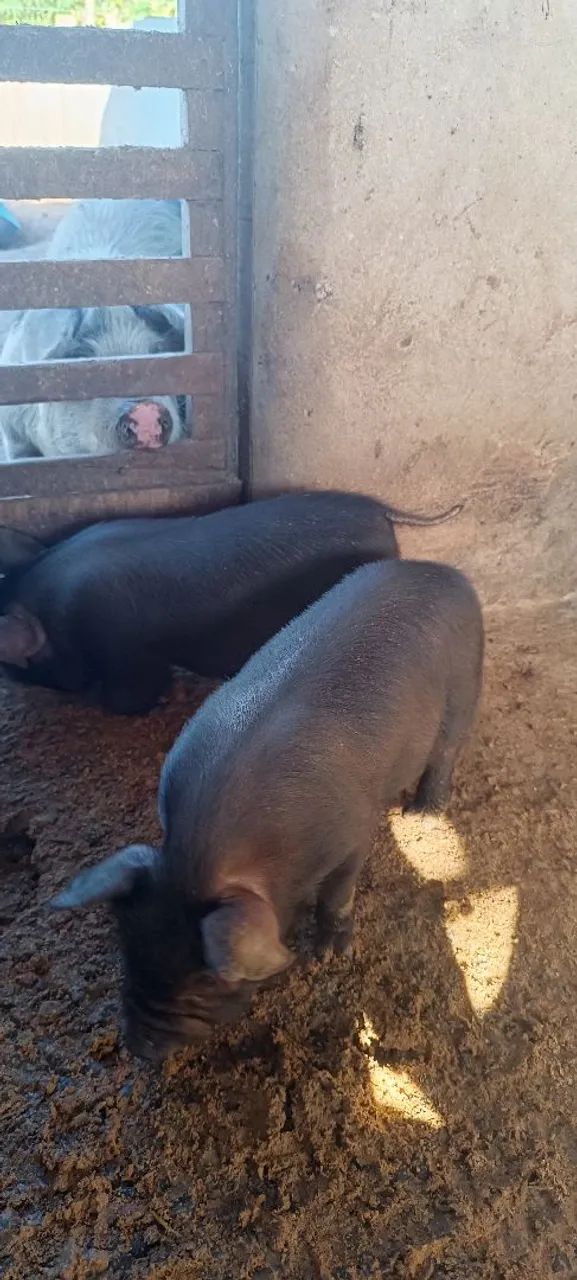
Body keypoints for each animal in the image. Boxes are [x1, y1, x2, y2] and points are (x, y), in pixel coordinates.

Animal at [54, 557, 483, 1060]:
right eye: (128, 949)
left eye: (204, 984)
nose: (140, 1049)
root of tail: (447, 573)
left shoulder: (353, 831)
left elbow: (339, 892)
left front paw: (329, 954)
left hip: (464, 690)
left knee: (446, 752)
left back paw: (421, 814)